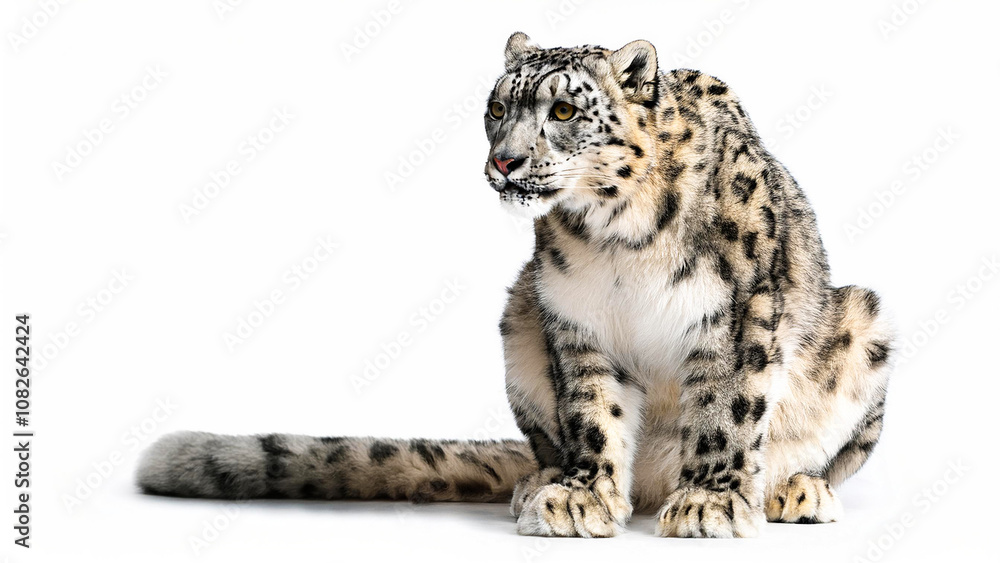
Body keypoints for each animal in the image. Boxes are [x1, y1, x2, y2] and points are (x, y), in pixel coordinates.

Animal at [136, 33, 894, 538]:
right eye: (497, 108)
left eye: (563, 112)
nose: (504, 161)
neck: (621, 235)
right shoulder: (578, 320)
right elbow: (592, 413)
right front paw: (582, 496)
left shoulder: (738, 315)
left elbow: (726, 411)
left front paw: (709, 502)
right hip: (519, 315)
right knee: (548, 439)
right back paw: (541, 481)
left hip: (865, 324)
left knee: (825, 456)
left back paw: (795, 490)